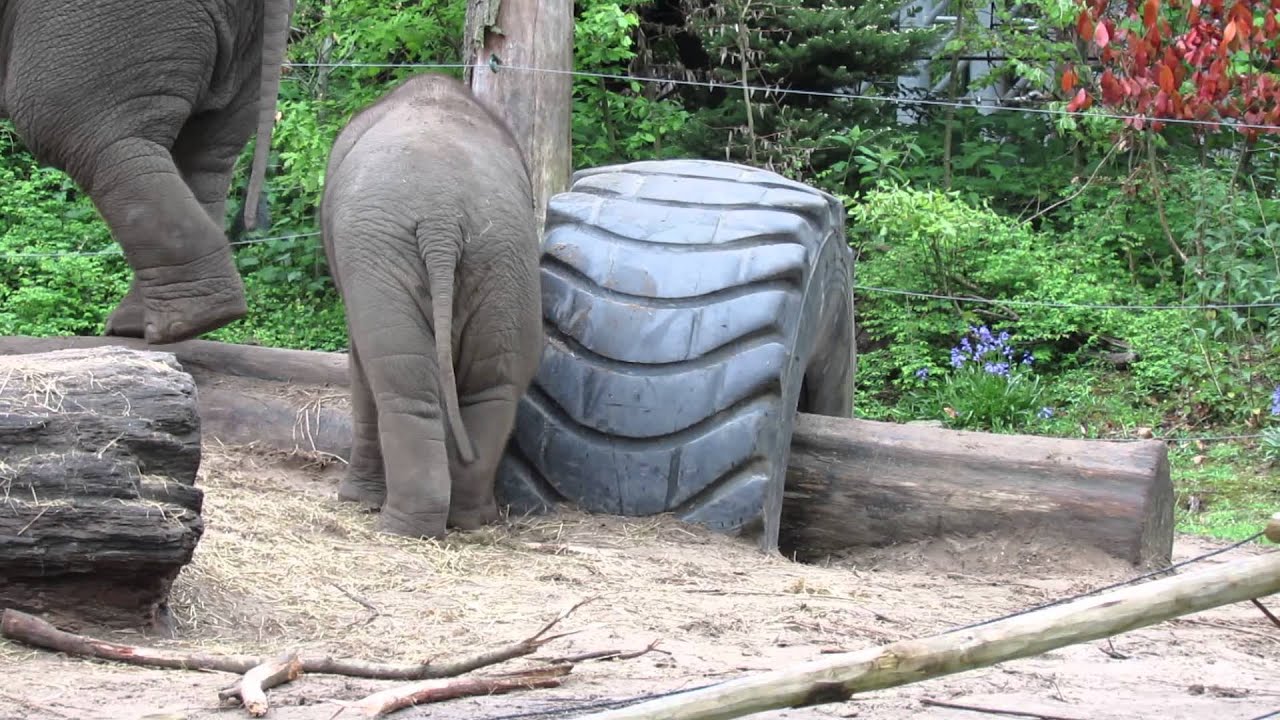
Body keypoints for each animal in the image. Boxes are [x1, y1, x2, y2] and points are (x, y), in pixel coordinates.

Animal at [320, 72, 544, 539]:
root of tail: (443, 218)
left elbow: (360, 363)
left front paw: (354, 499)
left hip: (383, 254)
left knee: (401, 382)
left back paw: (403, 528)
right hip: (505, 256)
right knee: (493, 384)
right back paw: (470, 519)